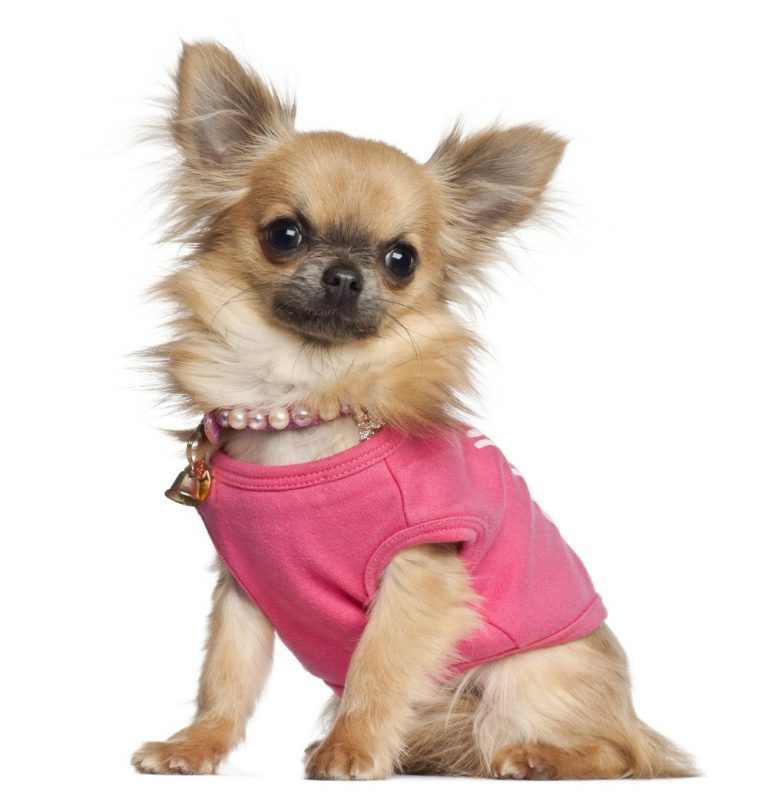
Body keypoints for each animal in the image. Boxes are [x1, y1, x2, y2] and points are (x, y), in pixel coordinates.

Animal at [131, 41, 695, 780]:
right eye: (284, 234)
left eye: (402, 259)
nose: (345, 275)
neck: (305, 400)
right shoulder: (243, 590)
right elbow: (225, 675)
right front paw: (194, 746)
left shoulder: (417, 575)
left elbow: (377, 668)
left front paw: (351, 748)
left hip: (525, 677)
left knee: (615, 753)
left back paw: (537, 758)